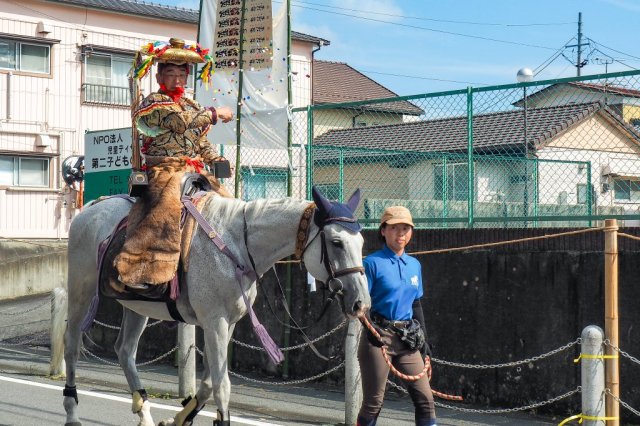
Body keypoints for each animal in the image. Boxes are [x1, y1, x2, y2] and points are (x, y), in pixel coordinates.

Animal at [56, 188, 370, 426]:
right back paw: (72, 412)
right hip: (82, 289)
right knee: (71, 344)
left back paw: (144, 412)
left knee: (124, 351)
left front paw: (178, 419)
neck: (238, 245)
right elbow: (222, 385)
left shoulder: (225, 324)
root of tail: (90, 209)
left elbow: (208, 384)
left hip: (136, 305)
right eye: (337, 242)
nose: (361, 302)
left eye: (361, 241)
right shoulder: (215, 321)